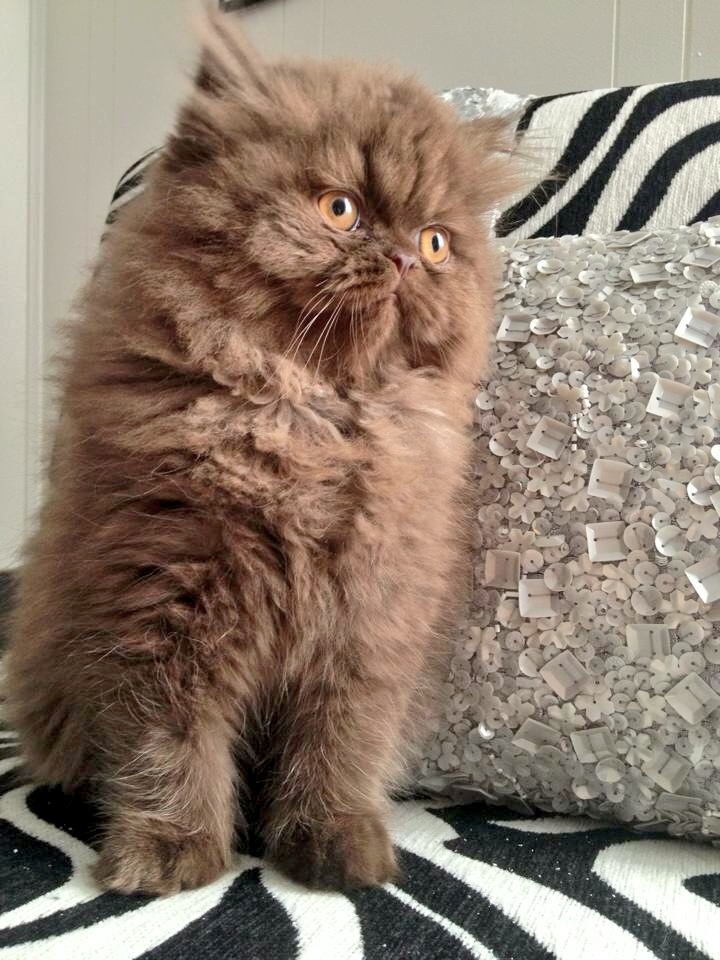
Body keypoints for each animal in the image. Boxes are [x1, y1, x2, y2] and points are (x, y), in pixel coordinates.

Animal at [7, 11, 524, 892]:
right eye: (340, 208)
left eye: (434, 244)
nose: (399, 259)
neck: (313, 418)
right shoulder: (157, 595)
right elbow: (167, 740)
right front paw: (168, 850)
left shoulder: (371, 620)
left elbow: (340, 743)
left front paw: (333, 841)